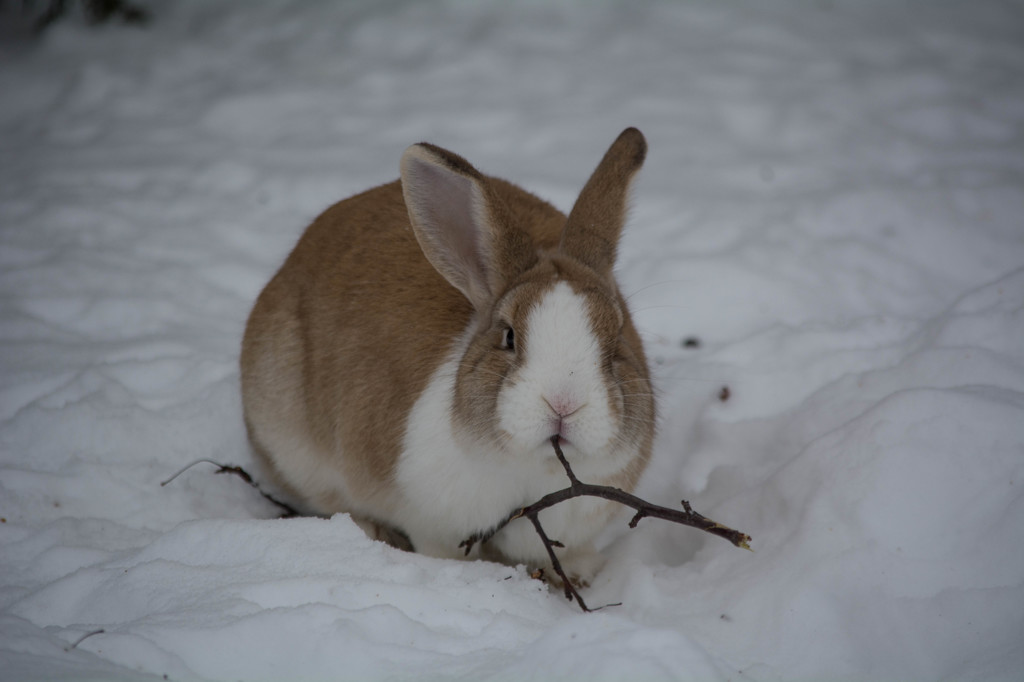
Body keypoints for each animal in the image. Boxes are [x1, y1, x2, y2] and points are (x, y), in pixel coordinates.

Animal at [239, 127, 655, 585]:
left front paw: (579, 574)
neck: (534, 470)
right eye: (509, 336)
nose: (563, 404)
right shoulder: (430, 520)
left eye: (616, 340)